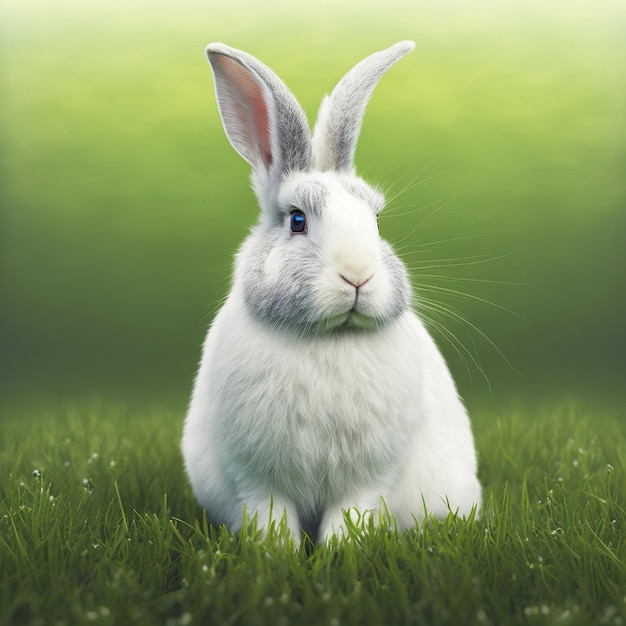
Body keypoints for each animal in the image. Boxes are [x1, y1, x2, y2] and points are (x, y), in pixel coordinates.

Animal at [182, 41, 482, 544]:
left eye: (376, 221)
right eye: (297, 220)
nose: (358, 275)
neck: (330, 337)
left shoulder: (368, 479)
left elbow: (350, 515)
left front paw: (342, 552)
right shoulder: (257, 479)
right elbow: (271, 517)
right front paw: (274, 554)